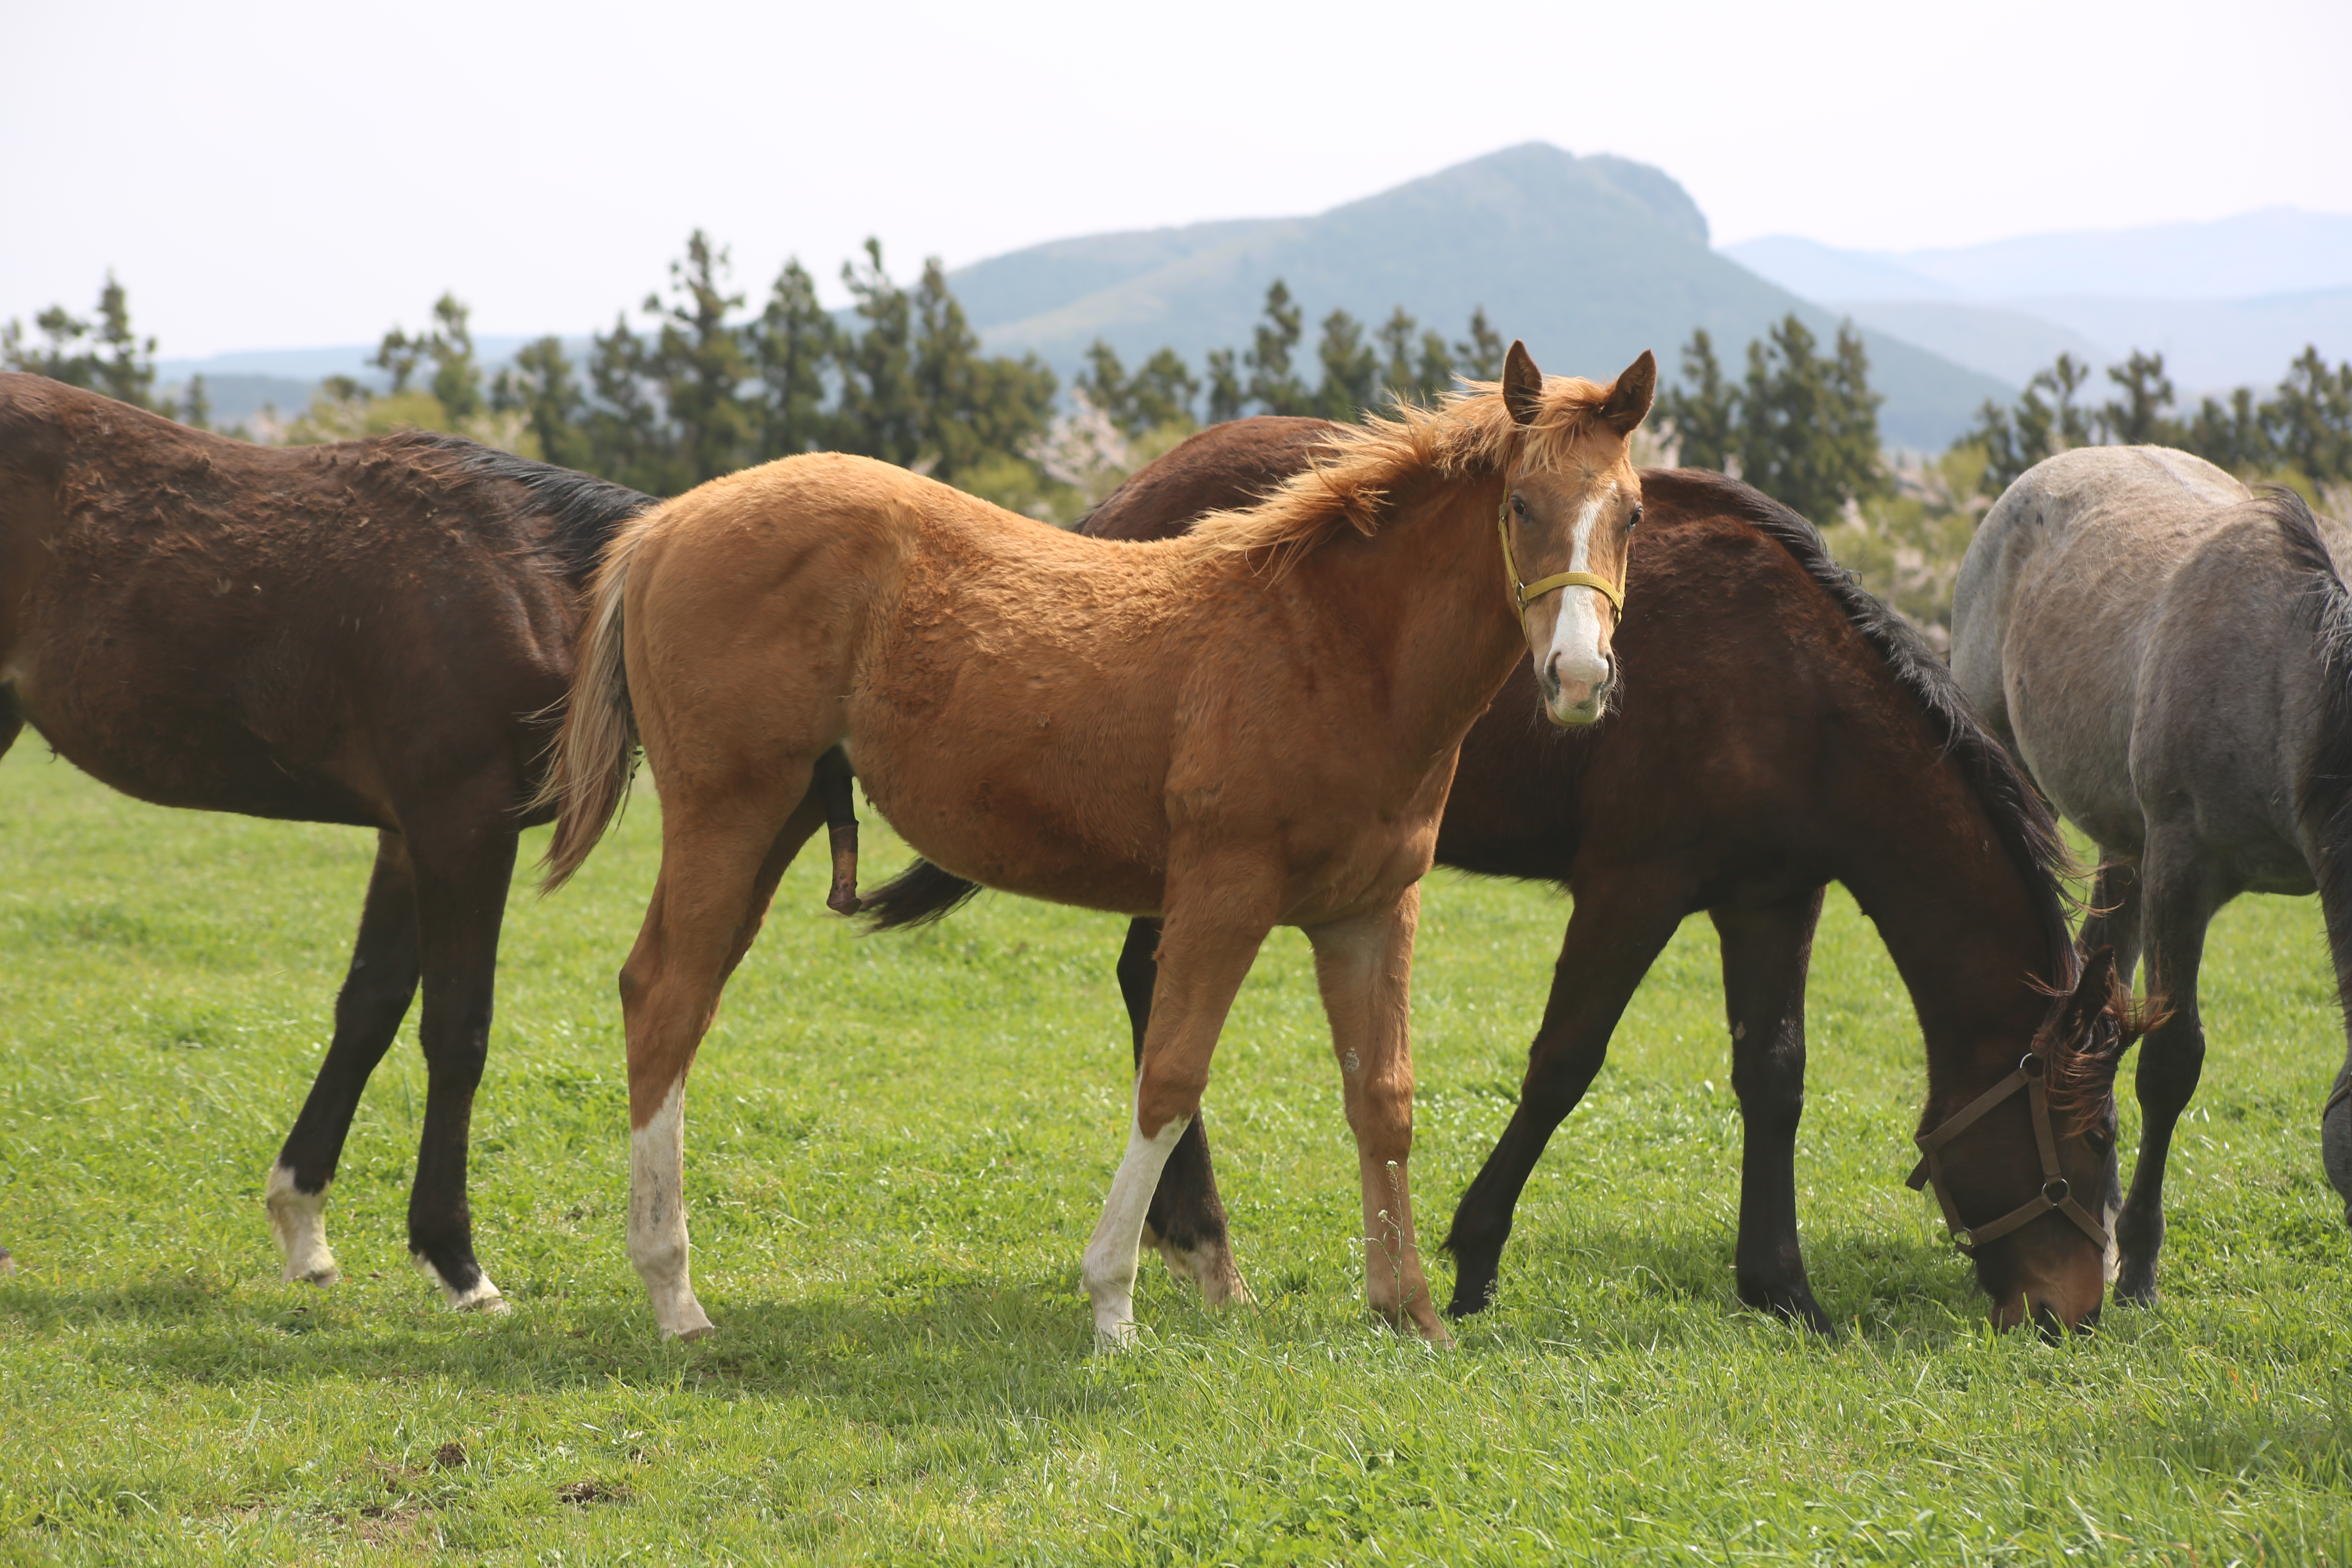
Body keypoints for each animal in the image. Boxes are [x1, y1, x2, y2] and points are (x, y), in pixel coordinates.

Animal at [0, 374, 654, 1307]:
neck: (534, 581)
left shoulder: (410, 838)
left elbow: (369, 1010)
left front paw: (304, 1226)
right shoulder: (463, 829)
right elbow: (457, 1030)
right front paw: (457, 1259)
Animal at [539, 350, 1656, 1345]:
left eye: (1633, 513)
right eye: (1520, 504)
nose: (1578, 678)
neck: (1331, 649)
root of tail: (666, 522)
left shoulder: (1369, 913)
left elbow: (1382, 1098)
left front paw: (1410, 1311)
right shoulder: (1223, 890)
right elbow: (1170, 1077)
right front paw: (1114, 1303)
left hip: (775, 822)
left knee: (676, 997)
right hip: (728, 811)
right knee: (666, 998)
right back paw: (675, 1297)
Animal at [865, 416, 2154, 1335]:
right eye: (2089, 1140)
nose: (2071, 1313)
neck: (1791, 681)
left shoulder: (1770, 895)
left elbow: (1774, 1077)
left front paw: (1781, 1287)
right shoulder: (1634, 883)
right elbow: (1563, 1063)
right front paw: (1473, 1256)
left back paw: (1194, 1244)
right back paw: (1198, 1242)